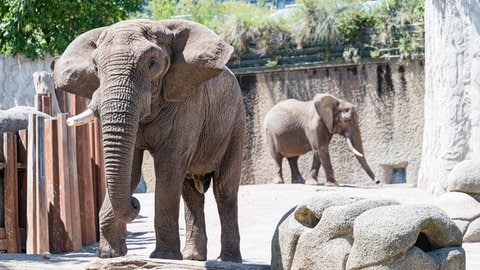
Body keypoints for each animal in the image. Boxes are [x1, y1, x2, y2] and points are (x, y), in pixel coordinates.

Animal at [51, 19, 246, 264]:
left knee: (224, 188)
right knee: (190, 191)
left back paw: (228, 260)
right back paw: (193, 258)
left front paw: (165, 257)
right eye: (95, 67)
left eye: (153, 63)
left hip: (236, 123)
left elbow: (169, 166)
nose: (135, 202)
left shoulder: (188, 102)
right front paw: (109, 255)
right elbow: (132, 169)